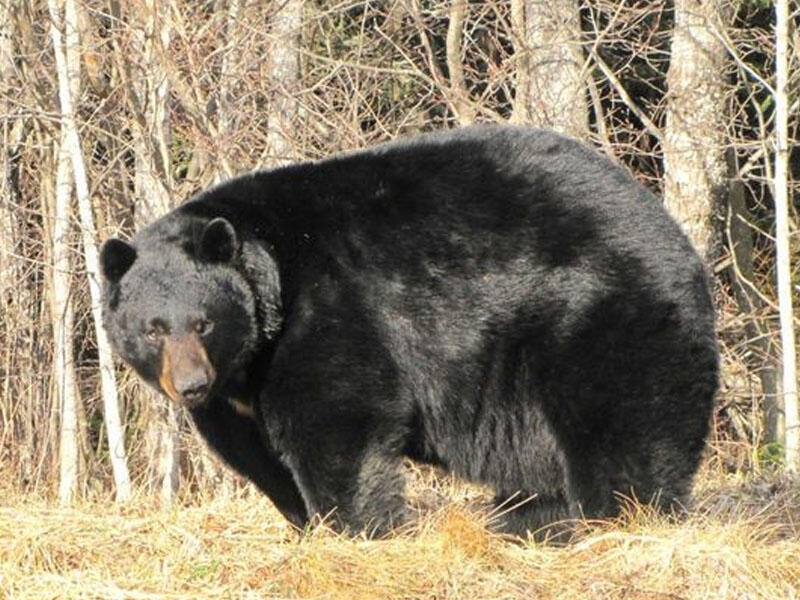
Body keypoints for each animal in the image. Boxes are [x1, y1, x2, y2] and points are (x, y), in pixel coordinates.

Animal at [100, 125, 718, 538]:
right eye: (153, 329)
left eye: (203, 321)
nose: (191, 385)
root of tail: (678, 242)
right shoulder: (235, 400)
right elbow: (258, 457)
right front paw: (304, 526)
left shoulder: (330, 314)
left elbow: (339, 422)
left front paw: (354, 530)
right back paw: (530, 521)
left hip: (600, 321)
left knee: (625, 435)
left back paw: (617, 519)